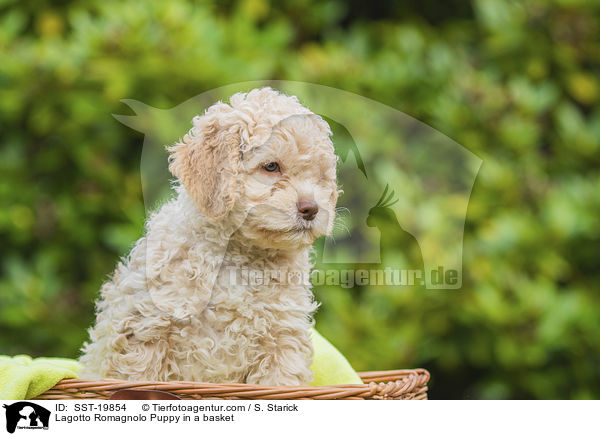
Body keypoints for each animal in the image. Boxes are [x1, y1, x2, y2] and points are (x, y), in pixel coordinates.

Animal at [79, 87, 340, 384]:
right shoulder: (147, 329)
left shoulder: (282, 338)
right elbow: (138, 378)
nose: (312, 209)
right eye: (271, 166)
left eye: (320, 177)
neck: (241, 255)